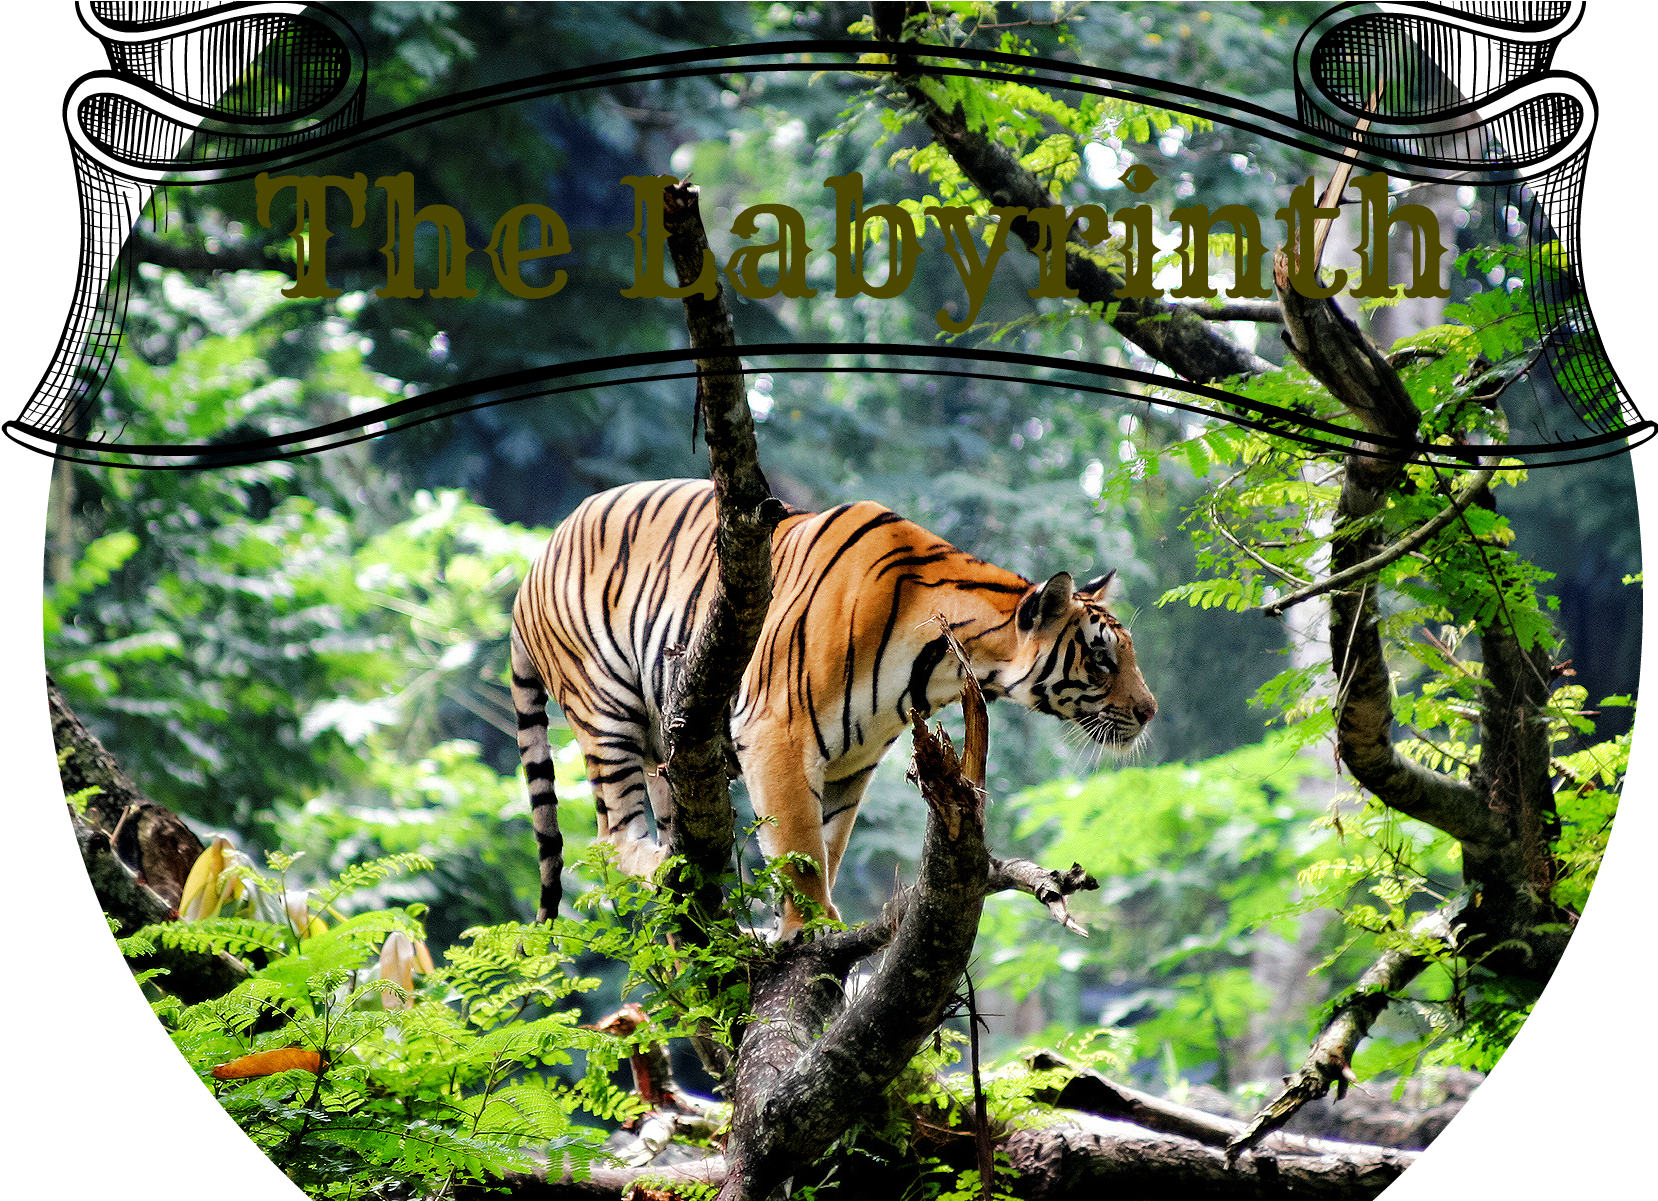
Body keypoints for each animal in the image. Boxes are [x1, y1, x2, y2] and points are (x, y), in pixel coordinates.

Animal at [511, 477, 1156, 937]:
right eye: (1103, 659)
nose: (1150, 711)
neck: (942, 666)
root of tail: (533, 564)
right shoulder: (778, 733)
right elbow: (799, 847)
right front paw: (810, 928)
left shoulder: (852, 761)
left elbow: (828, 843)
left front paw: (794, 927)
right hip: (605, 710)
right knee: (610, 837)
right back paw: (669, 870)